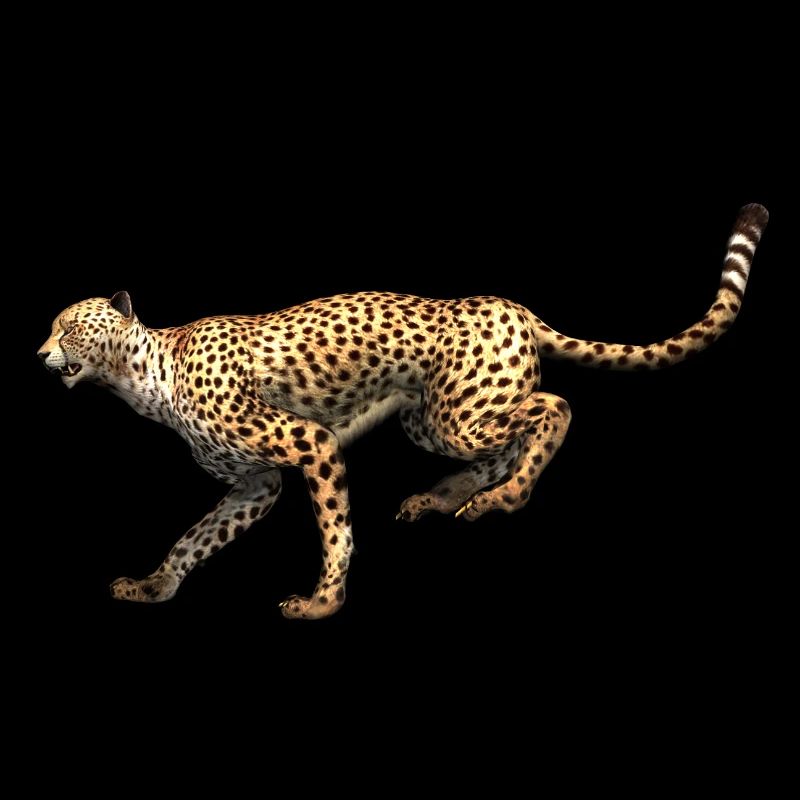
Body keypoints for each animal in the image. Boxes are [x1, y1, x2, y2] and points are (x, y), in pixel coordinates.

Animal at [38, 204, 768, 619]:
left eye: (69, 327)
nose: (40, 354)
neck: (141, 377)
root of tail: (509, 303)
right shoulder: (256, 483)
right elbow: (194, 538)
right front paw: (155, 585)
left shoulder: (308, 443)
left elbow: (335, 529)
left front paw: (323, 602)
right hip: (431, 418)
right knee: (511, 438)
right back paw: (448, 497)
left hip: (458, 415)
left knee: (553, 406)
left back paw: (502, 500)